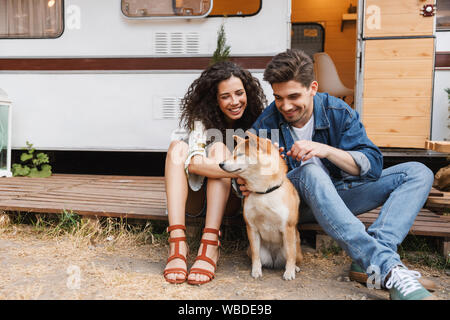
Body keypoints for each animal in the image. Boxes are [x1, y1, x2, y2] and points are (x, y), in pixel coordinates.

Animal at [219, 131, 302, 280]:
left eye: (240, 154)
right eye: (232, 153)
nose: (220, 164)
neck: (264, 192)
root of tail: (274, 260)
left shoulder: (288, 227)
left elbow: (291, 256)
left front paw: (289, 272)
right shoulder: (251, 227)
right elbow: (256, 255)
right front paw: (256, 270)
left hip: (295, 244)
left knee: (292, 255)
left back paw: (295, 268)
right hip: (251, 251)